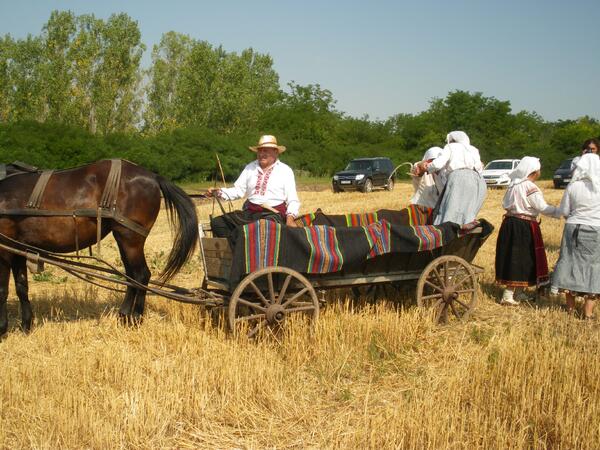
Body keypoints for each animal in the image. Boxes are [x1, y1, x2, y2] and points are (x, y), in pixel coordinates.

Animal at [0, 161, 198, 334]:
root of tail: (153, 177)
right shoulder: (16, 248)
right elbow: (21, 287)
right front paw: (26, 325)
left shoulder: (4, 250)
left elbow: (3, 289)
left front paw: (3, 328)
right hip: (123, 238)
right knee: (131, 275)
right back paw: (124, 314)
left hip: (130, 238)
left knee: (141, 275)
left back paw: (135, 317)